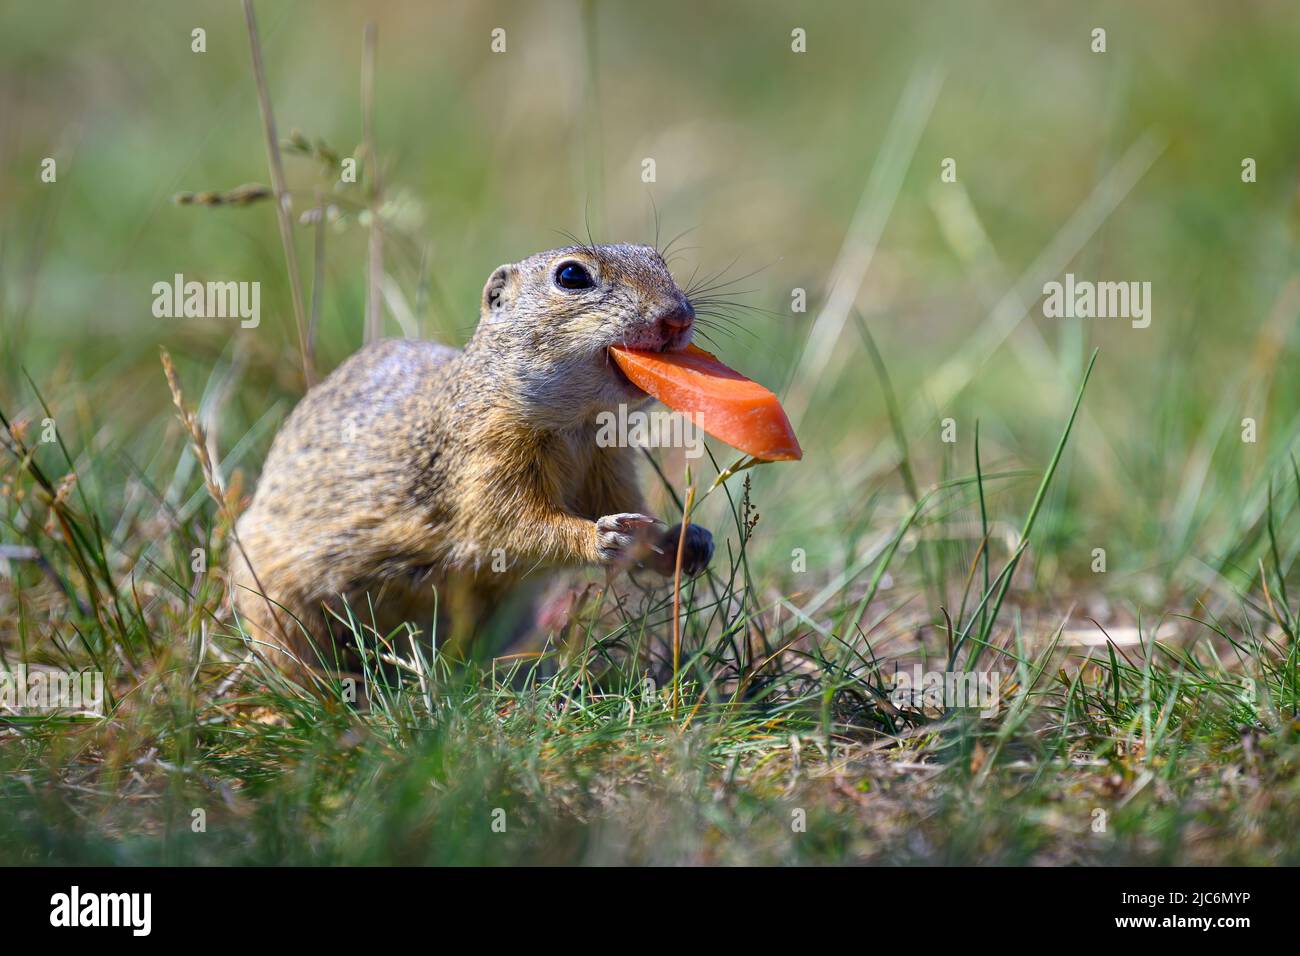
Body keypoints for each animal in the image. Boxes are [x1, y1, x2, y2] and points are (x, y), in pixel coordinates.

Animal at [236, 247, 712, 676]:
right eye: (572, 276)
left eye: (658, 259)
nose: (677, 316)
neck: (579, 426)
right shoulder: (484, 463)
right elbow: (514, 527)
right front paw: (602, 536)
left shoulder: (609, 468)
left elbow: (627, 512)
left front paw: (684, 541)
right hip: (276, 603)